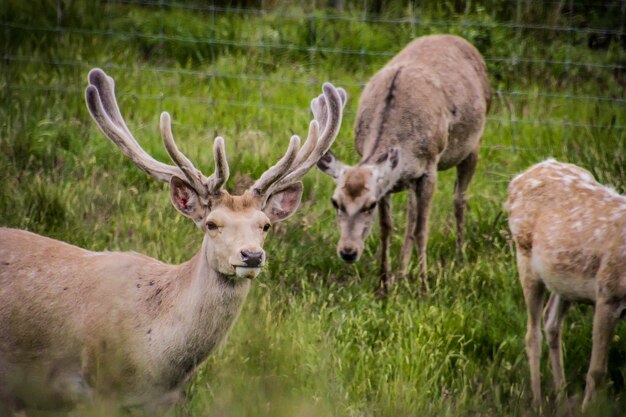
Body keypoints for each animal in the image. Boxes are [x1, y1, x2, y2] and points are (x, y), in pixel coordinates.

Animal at [316, 35, 488, 292]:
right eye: (335, 202)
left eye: (369, 205)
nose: (348, 252)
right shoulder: (388, 180)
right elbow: (387, 227)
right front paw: (383, 283)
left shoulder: (429, 168)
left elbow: (422, 229)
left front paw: (424, 285)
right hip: (410, 180)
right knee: (411, 212)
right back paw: (402, 272)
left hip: (474, 144)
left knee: (459, 199)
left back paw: (459, 258)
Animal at [504, 159, 624, 410]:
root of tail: (517, 179)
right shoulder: (608, 293)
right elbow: (597, 371)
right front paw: (588, 410)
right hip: (524, 256)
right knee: (532, 334)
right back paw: (539, 403)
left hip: (564, 281)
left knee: (551, 320)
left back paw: (561, 396)